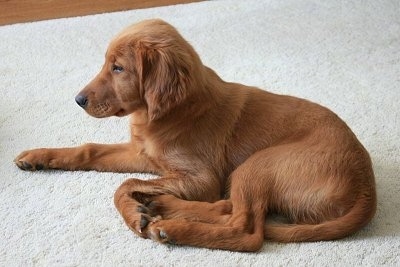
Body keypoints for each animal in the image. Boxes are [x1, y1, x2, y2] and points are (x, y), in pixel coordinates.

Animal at [14, 19, 376, 252]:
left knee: (246, 230)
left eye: (118, 68)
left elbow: (124, 184)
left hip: (258, 164)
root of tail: (366, 186)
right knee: (229, 208)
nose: (78, 100)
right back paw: (163, 204)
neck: (164, 113)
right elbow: (90, 150)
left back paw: (171, 226)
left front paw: (133, 215)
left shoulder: (201, 177)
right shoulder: (143, 154)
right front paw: (37, 157)